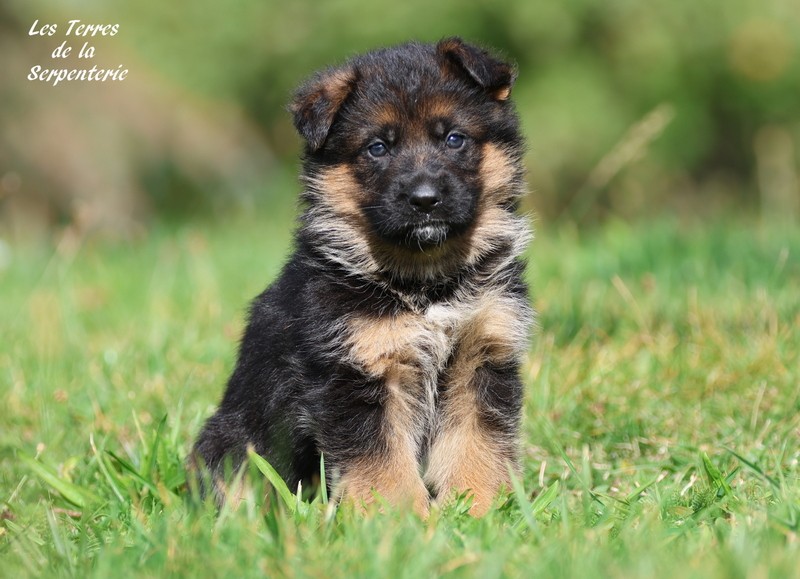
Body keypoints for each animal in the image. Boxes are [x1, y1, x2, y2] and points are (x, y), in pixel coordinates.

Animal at [191, 36, 536, 516]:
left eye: (454, 139)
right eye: (378, 148)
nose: (424, 199)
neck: (426, 285)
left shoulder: (482, 355)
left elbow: (477, 442)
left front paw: (478, 508)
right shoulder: (357, 373)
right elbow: (382, 461)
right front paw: (401, 519)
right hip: (229, 444)